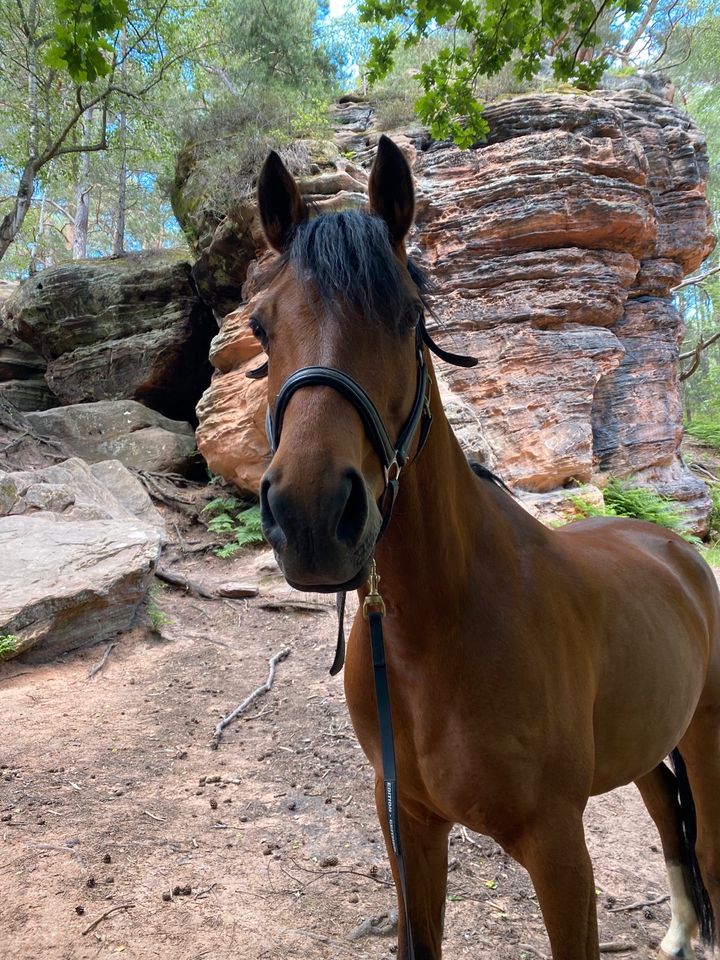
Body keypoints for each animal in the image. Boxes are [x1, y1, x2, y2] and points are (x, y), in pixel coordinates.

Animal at [250, 137, 720, 960]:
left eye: (408, 318)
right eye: (260, 327)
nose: (309, 516)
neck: (440, 632)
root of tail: (677, 548)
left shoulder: (558, 849)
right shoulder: (408, 827)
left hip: (711, 737)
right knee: (667, 806)